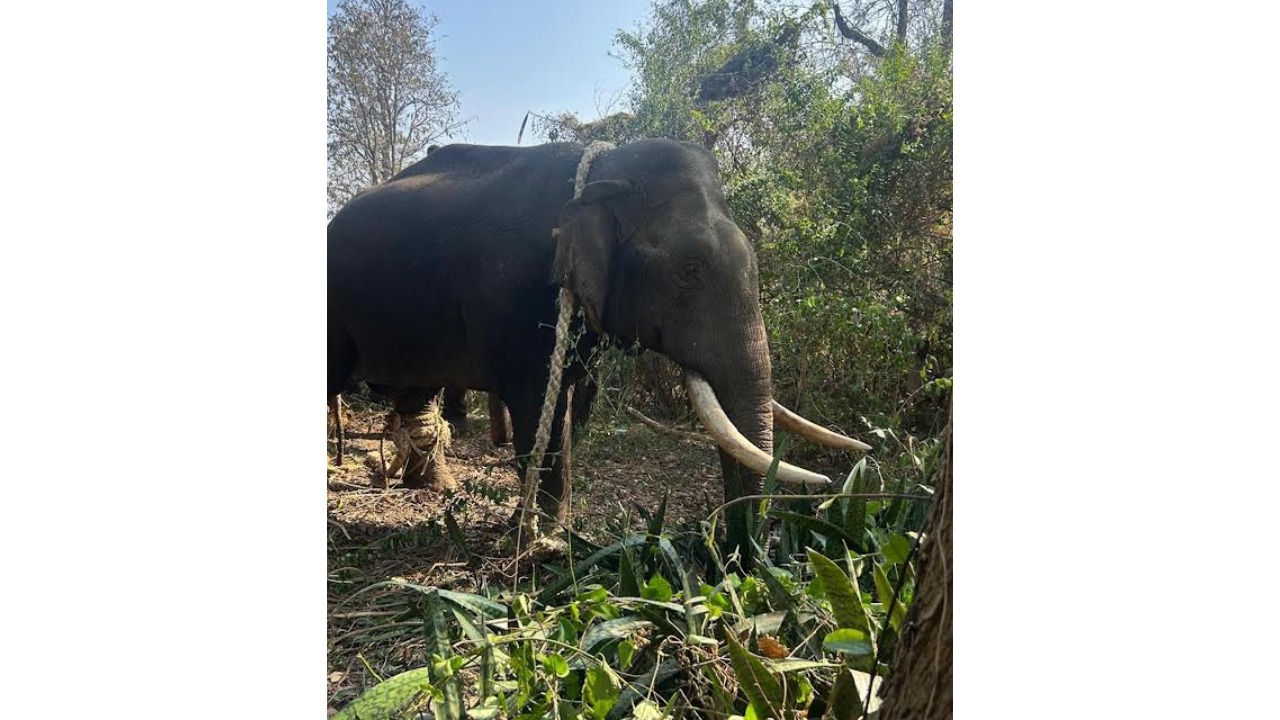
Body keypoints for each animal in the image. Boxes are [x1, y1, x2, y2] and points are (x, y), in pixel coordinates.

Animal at [328, 138, 869, 565]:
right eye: (689, 270)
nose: (733, 556)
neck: (608, 168)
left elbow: (562, 410)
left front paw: (557, 536)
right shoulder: (519, 299)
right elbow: (536, 412)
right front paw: (541, 544)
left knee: (415, 394)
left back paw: (433, 488)